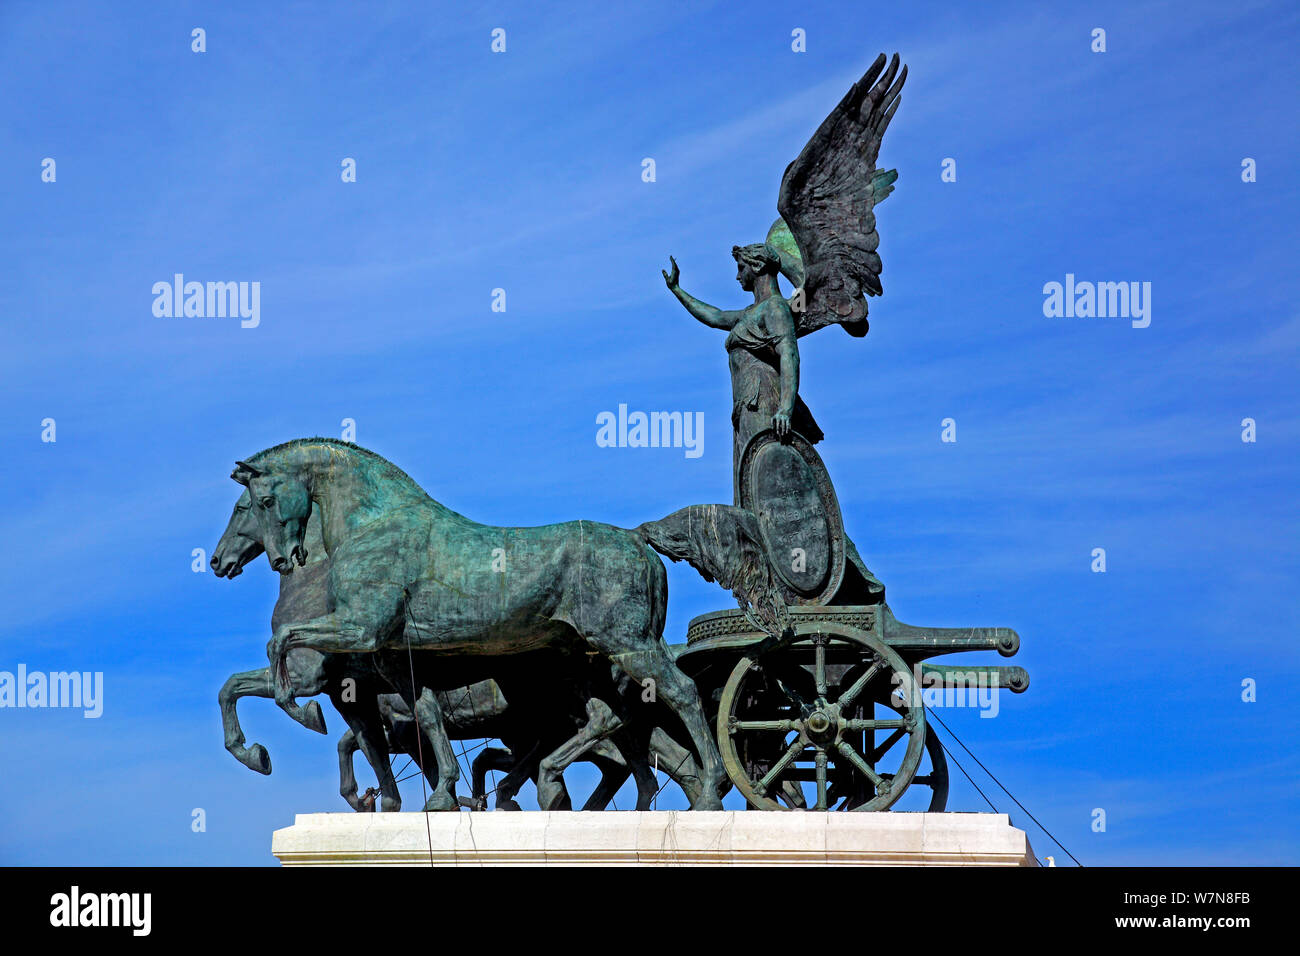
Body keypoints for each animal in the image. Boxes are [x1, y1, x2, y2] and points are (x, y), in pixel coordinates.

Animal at [230, 437, 728, 811]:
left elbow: (280, 645)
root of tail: (638, 542)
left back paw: (708, 792)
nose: (282, 558)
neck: (372, 524)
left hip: (628, 644)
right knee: (614, 722)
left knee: (682, 696)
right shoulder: (393, 661)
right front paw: (442, 795)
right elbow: (423, 716)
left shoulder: (359, 629)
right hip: (588, 663)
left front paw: (293, 718)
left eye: (260, 502)